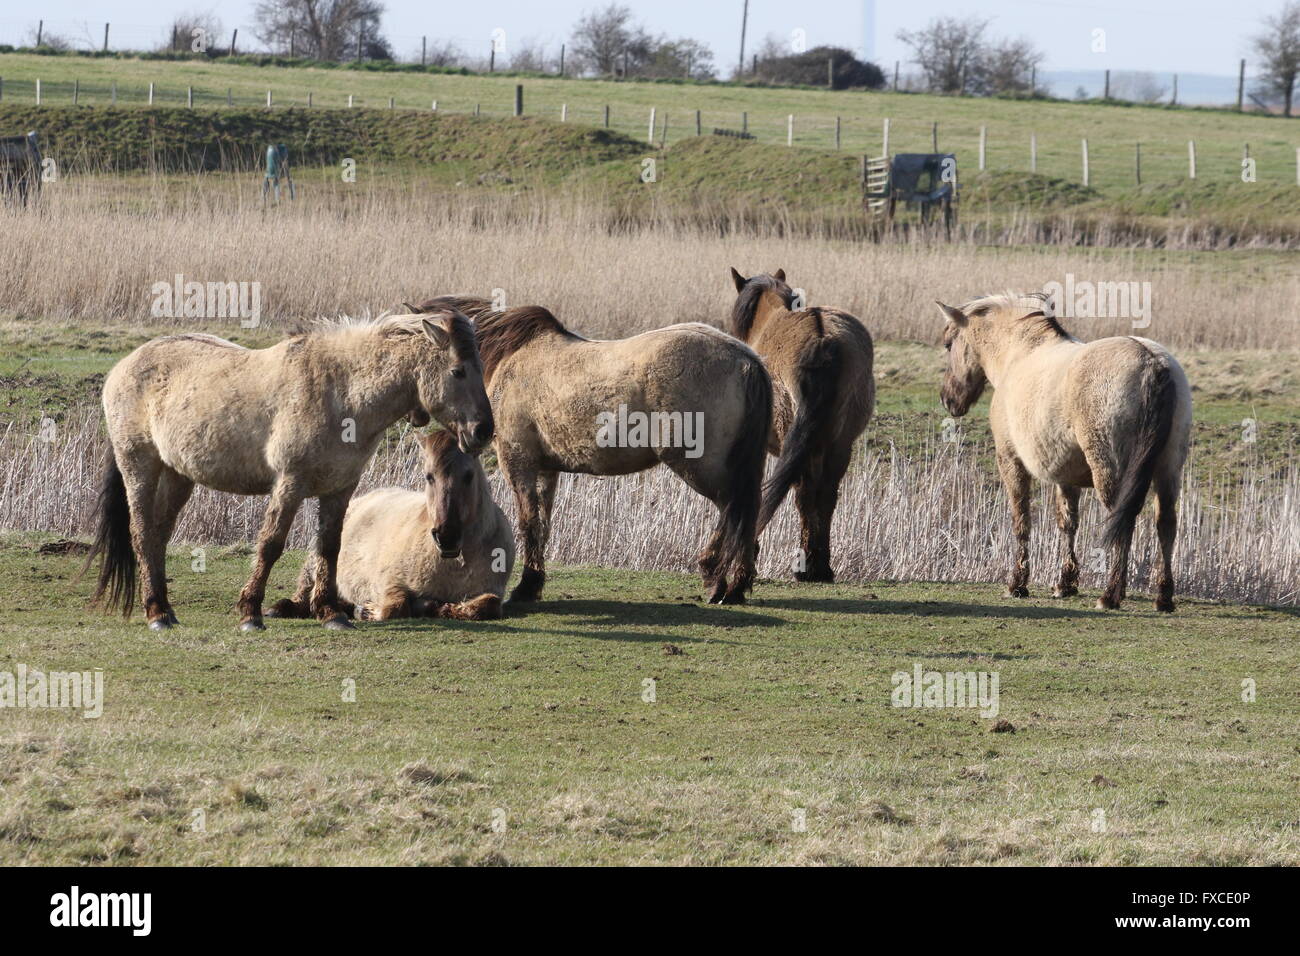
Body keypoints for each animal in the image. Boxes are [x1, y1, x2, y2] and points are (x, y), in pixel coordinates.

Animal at [86, 310, 491, 632]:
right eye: (457, 371)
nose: (483, 431)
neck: (340, 390)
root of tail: (124, 366)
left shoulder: (340, 488)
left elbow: (329, 547)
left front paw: (330, 613)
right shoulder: (290, 483)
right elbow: (270, 544)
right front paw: (250, 612)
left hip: (177, 475)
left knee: (158, 535)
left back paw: (165, 610)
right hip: (139, 465)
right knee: (141, 534)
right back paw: (155, 613)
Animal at [413, 291, 769, 606]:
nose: (479, 432)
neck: (511, 358)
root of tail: (745, 359)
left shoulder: (518, 463)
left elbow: (528, 523)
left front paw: (525, 588)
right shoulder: (547, 469)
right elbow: (543, 525)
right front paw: (533, 583)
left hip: (698, 466)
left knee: (732, 508)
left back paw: (714, 578)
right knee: (747, 512)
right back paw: (736, 586)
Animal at [733, 269, 873, 582]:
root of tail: (822, 339)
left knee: (804, 494)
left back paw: (807, 567)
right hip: (838, 444)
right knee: (825, 495)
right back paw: (821, 566)